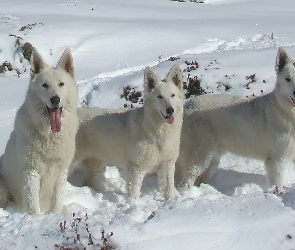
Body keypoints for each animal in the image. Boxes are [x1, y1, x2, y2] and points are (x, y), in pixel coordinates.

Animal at [0, 47, 78, 214]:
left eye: (61, 84)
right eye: (45, 85)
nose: (55, 99)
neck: (50, 135)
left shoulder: (61, 171)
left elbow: (57, 202)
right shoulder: (31, 172)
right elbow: (33, 205)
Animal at [178, 47, 295, 191]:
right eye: (288, 79)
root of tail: (187, 105)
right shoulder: (275, 160)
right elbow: (277, 187)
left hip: (213, 160)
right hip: (200, 156)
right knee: (185, 182)